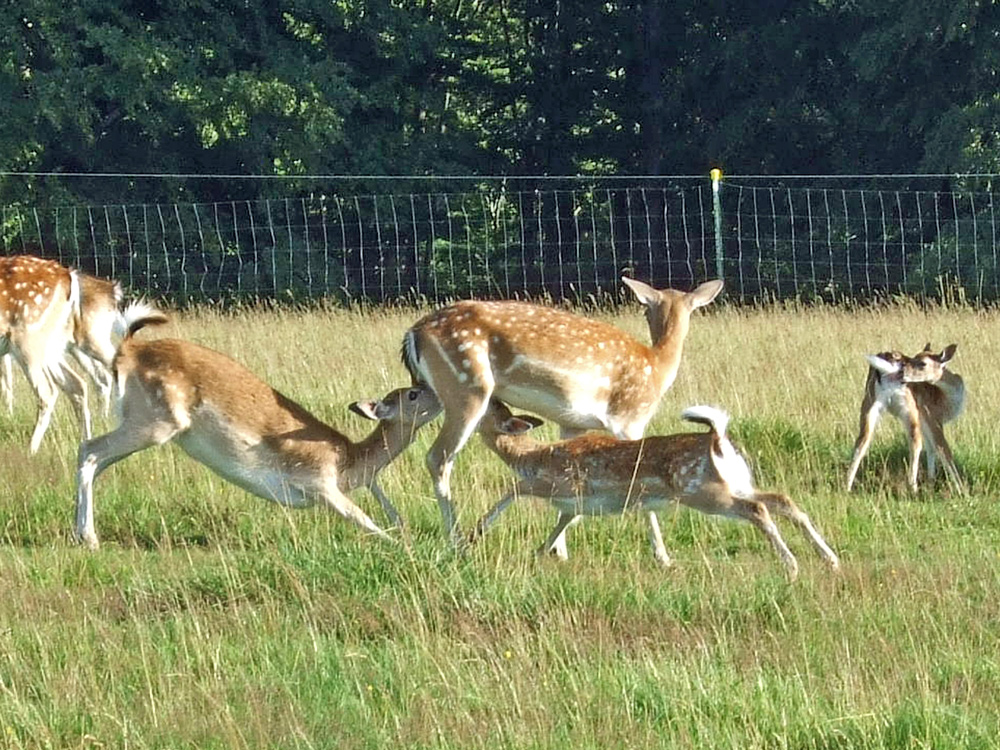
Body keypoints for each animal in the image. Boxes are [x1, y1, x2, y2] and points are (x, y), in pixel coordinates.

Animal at [74, 302, 442, 548]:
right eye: (412, 394)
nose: (438, 394)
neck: (349, 462)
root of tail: (127, 349)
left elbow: (390, 511)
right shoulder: (317, 481)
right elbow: (361, 518)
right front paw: (405, 547)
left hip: (142, 421)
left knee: (96, 459)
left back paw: (81, 532)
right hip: (156, 421)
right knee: (90, 449)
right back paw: (89, 538)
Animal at [402, 276, 724, 548]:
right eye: (646, 310)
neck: (656, 367)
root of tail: (413, 333)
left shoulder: (573, 422)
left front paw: (559, 548)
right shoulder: (628, 417)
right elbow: (637, 472)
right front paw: (662, 554)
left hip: (432, 394)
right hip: (467, 389)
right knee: (438, 458)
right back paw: (456, 540)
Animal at [466, 400, 836, 580]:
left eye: (489, 408)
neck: (529, 456)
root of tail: (717, 438)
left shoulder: (556, 482)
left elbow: (514, 488)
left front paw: (475, 532)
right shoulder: (577, 503)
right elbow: (561, 524)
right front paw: (541, 553)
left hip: (703, 492)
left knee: (759, 510)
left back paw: (792, 566)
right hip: (736, 483)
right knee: (782, 500)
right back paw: (829, 559)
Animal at [844, 344, 968, 496]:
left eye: (921, 362)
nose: (903, 372)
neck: (945, 398)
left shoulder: (926, 422)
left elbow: (931, 448)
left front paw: (931, 482)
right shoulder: (932, 417)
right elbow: (943, 449)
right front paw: (963, 492)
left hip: (869, 403)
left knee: (861, 442)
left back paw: (846, 487)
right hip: (909, 410)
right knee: (915, 444)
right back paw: (914, 489)